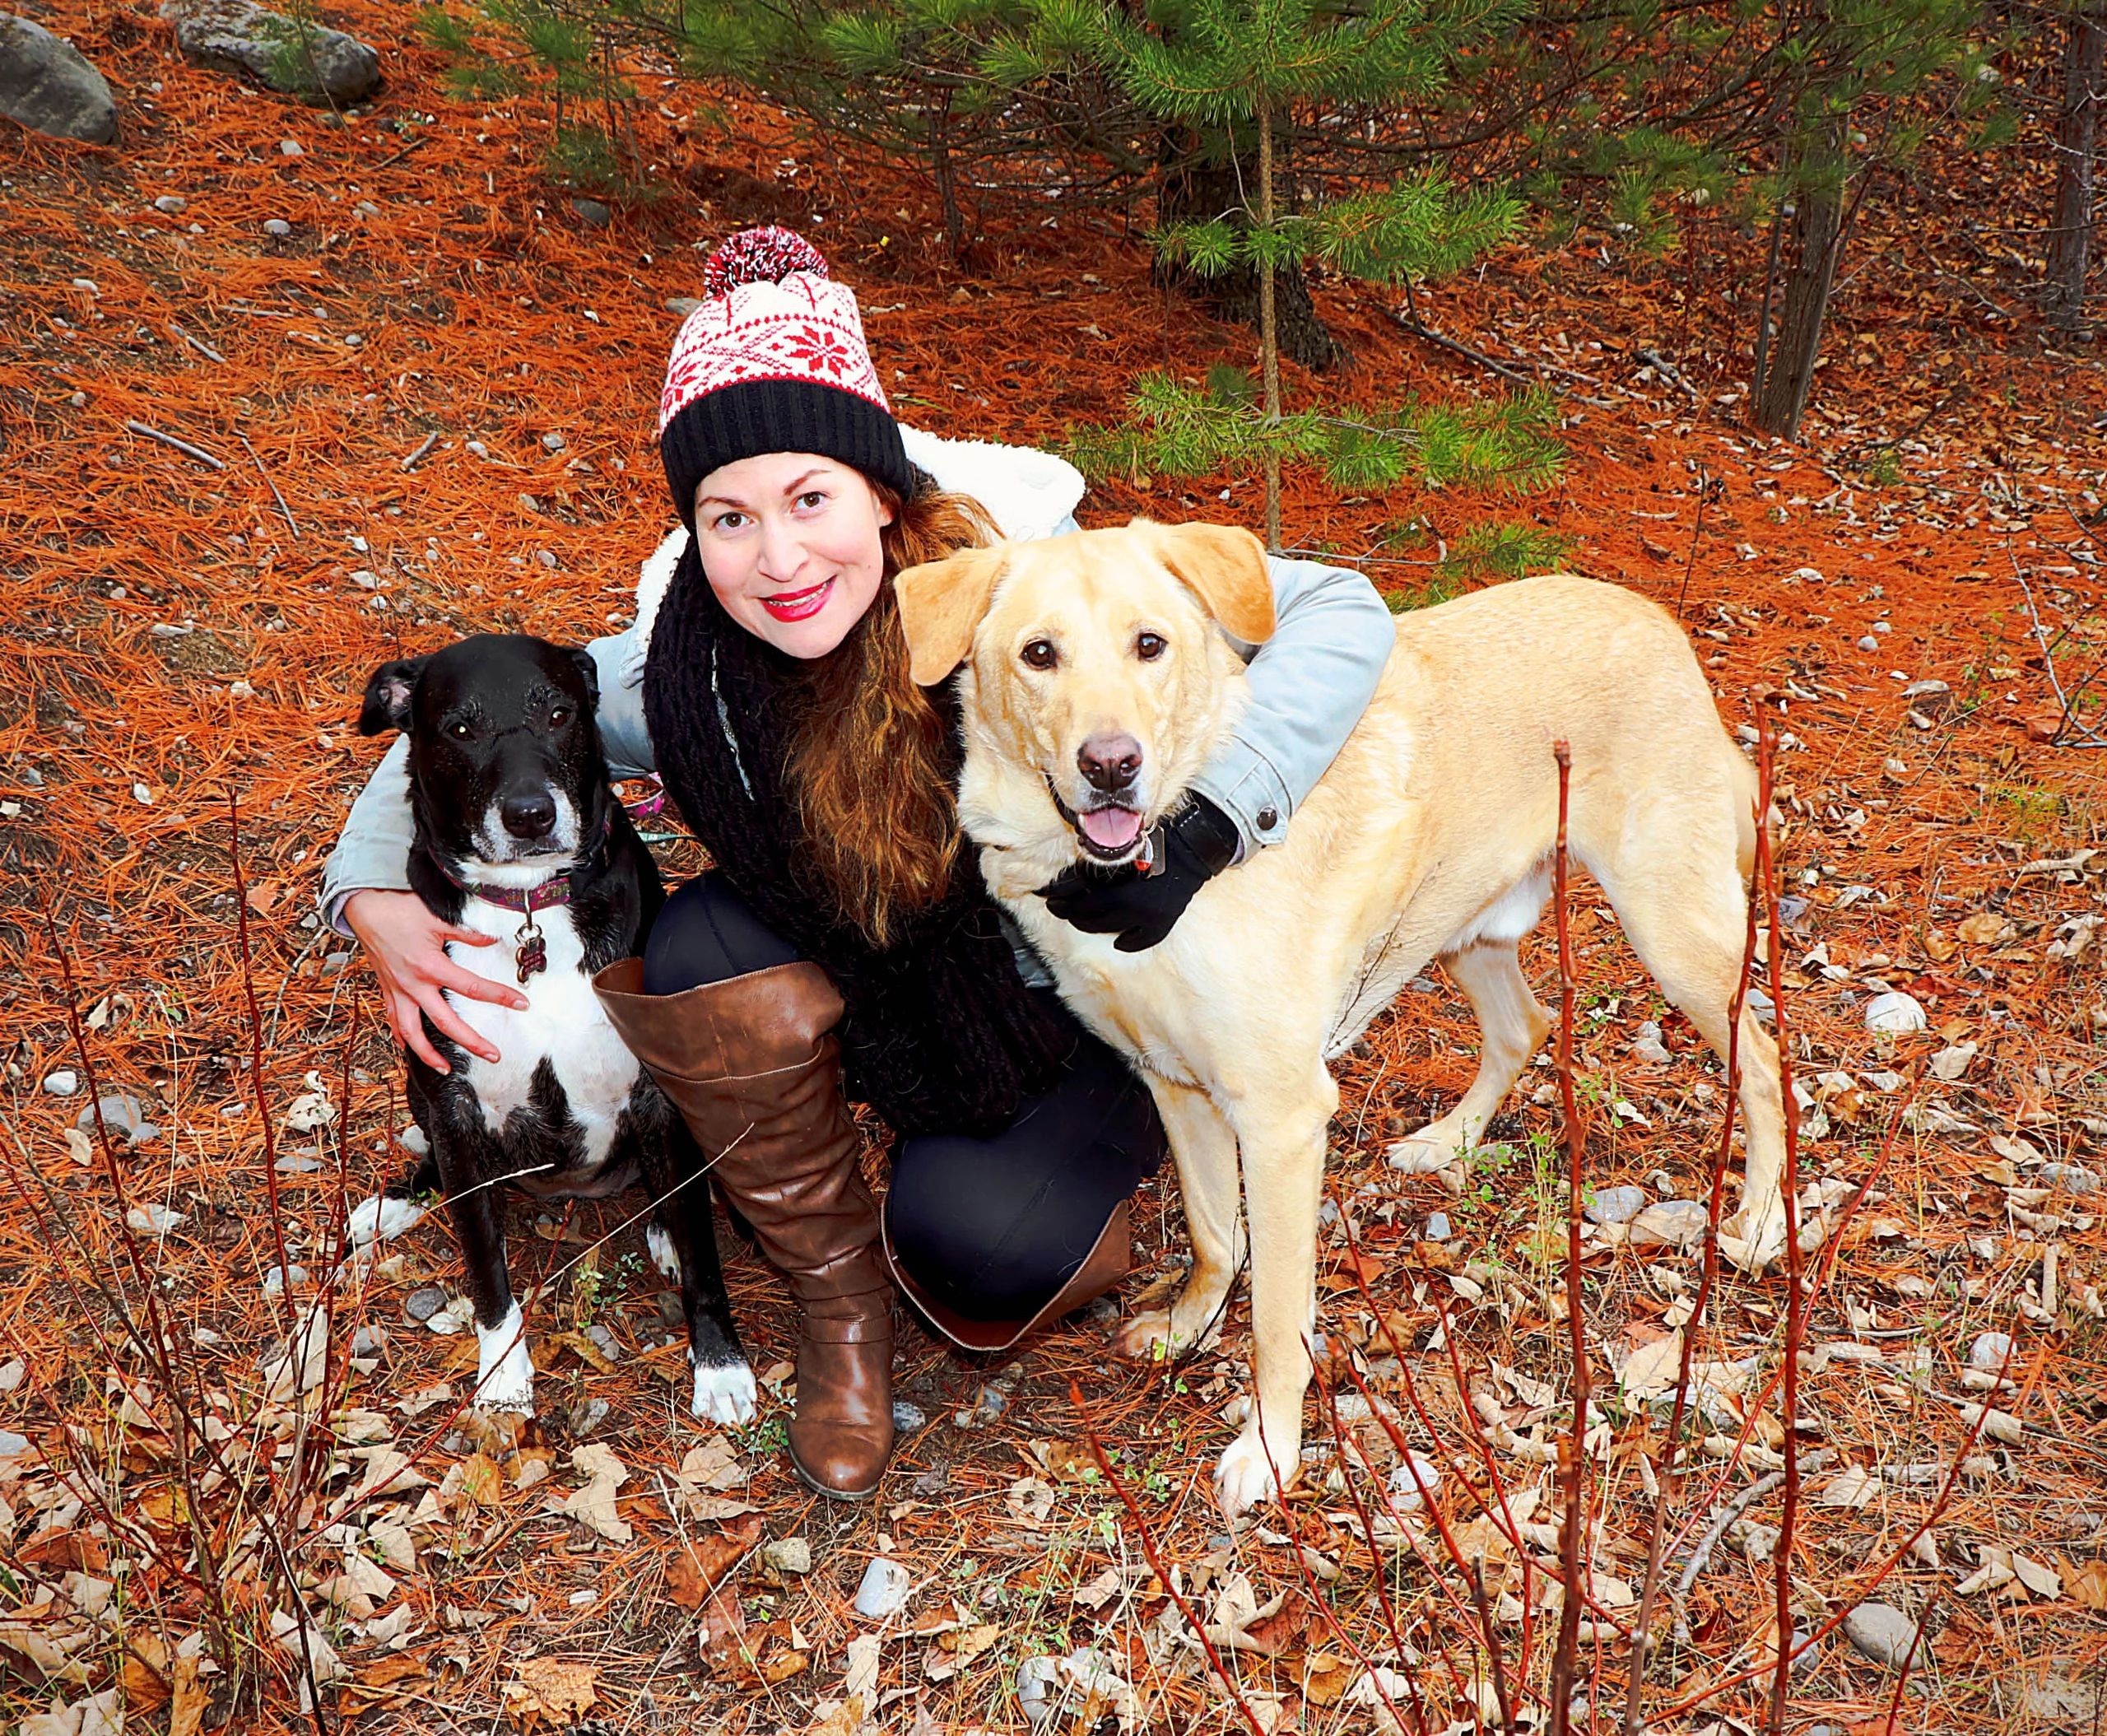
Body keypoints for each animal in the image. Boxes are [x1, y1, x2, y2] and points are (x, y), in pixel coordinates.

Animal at [351, 635, 758, 1424]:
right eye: (460, 728)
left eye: (560, 713)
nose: (531, 814)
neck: (529, 911)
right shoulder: (454, 1102)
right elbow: (484, 1263)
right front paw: (502, 1373)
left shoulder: (659, 1089)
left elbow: (702, 1250)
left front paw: (720, 1366)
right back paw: (400, 1199)